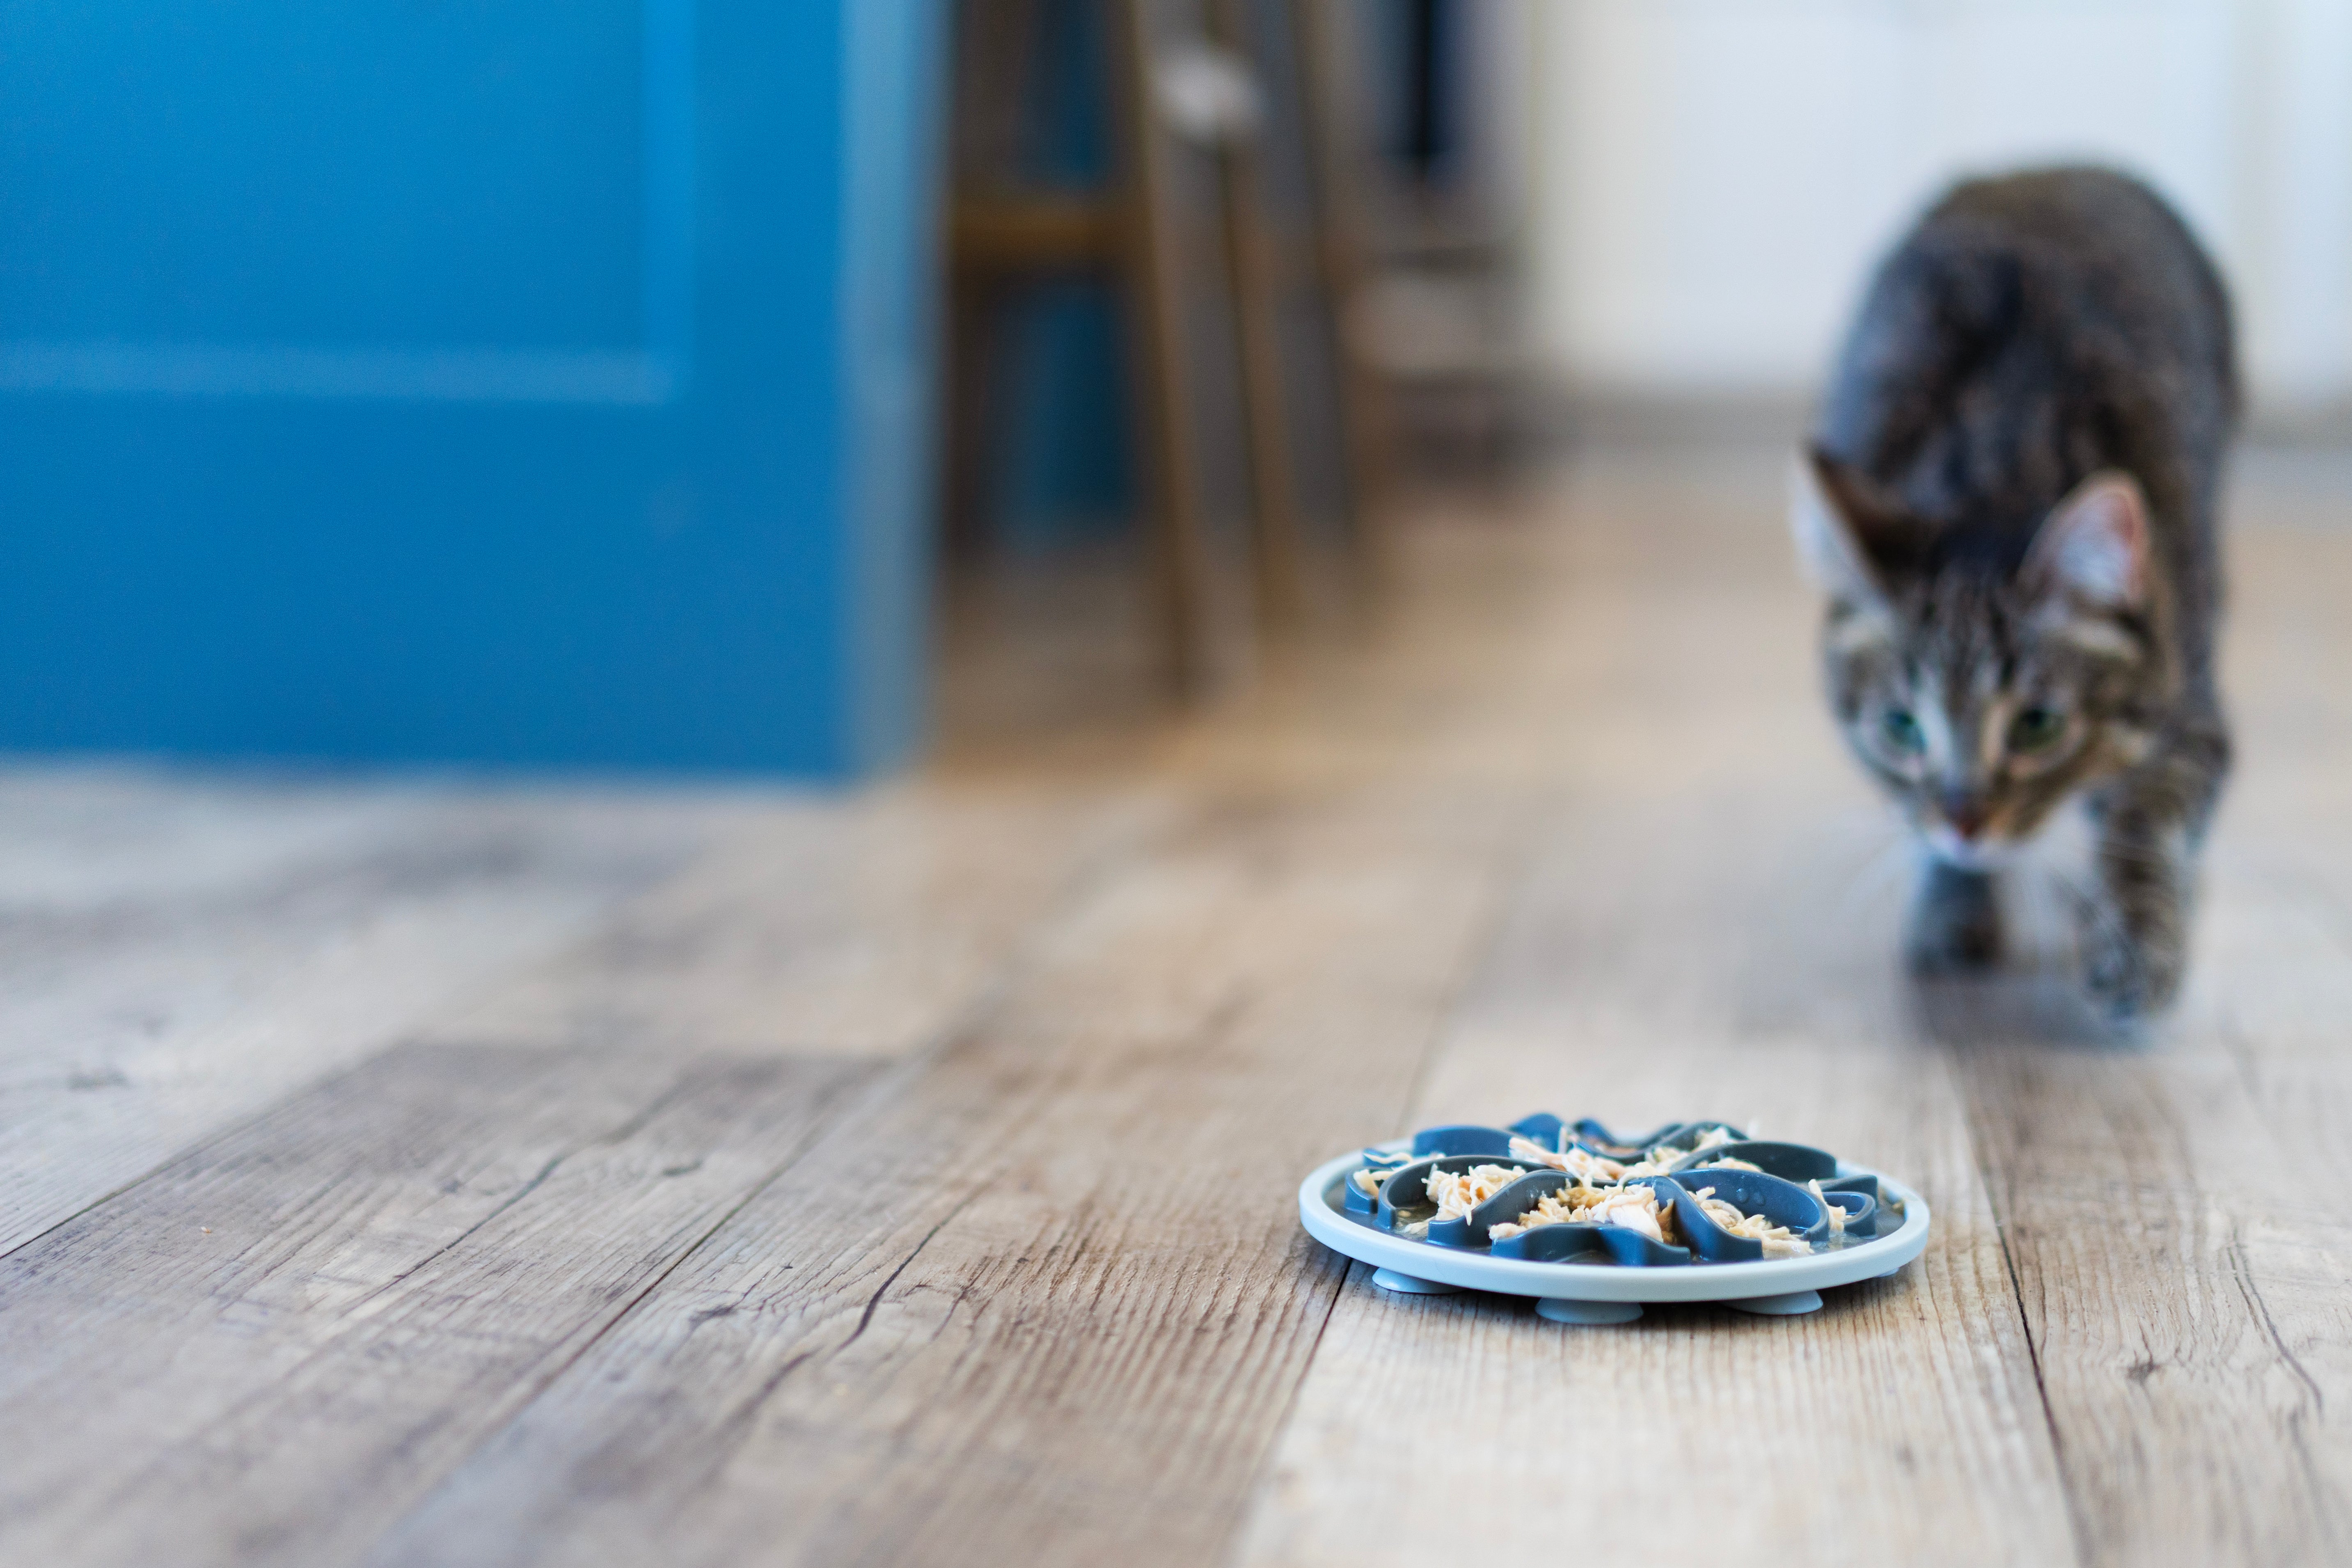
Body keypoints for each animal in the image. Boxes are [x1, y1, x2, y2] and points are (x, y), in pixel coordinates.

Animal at [1797, 162, 2239, 1020]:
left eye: (2037, 727)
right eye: (1901, 728)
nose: (1966, 824)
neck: (1998, 473)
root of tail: (2053, 163)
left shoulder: (2189, 702)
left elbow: (2149, 811)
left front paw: (2134, 935)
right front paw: (1951, 900)